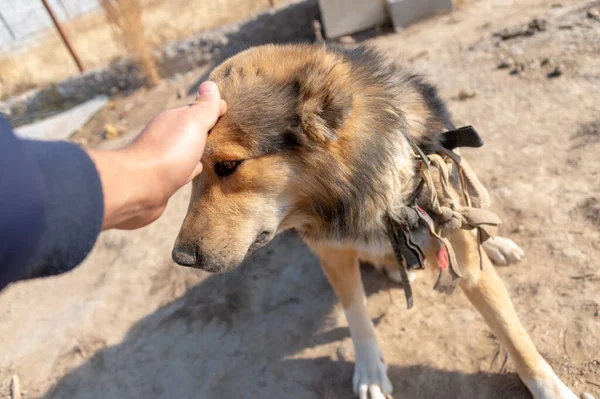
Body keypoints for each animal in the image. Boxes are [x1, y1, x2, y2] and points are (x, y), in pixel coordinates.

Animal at [171, 44, 580, 399]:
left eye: (229, 165)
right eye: (194, 170)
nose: (181, 259)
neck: (361, 188)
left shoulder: (461, 256)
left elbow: (513, 334)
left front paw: (552, 388)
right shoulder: (333, 255)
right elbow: (357, 316)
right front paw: (369, 370)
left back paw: (495, 244)